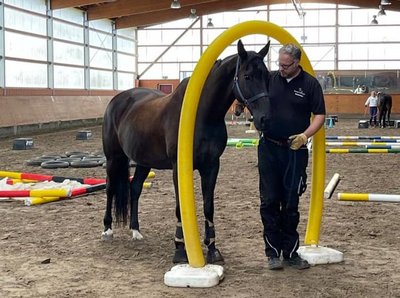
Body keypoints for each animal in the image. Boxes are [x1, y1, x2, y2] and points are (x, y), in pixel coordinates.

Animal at [102, 39, 272, 264]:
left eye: (267, 76)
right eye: (247, 76)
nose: (264, 119)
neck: (202, 115)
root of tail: (117, 99)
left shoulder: (212, 166)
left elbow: (208, 206)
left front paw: (212, 249)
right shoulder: (179, 168)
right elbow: (179, 208)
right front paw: (180, 250)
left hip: (143, 162)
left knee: (135, 188)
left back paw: (135, 230)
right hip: (113, 158)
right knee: (110, 188)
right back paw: (107, 229)